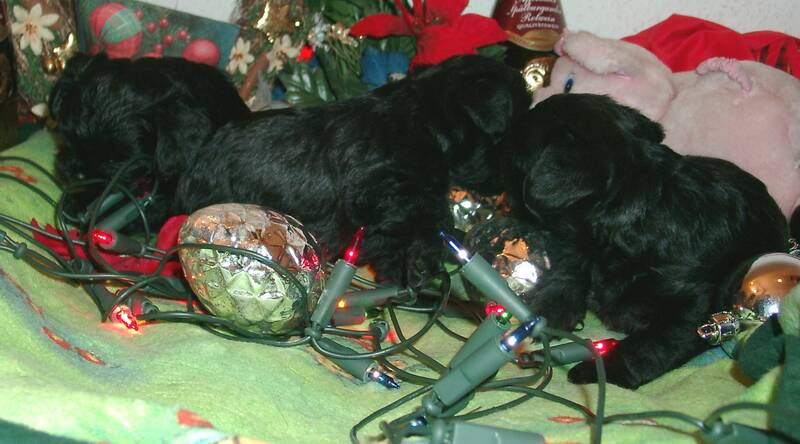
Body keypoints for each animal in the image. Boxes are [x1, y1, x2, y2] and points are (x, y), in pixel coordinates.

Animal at [174, 55, 531, 285]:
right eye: (510, 131)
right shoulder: (382, 190)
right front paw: (426, 257)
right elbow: (425, 215)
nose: (507, 186)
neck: (426, 119)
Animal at [501, 93, 788, 388]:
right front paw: (551, 310)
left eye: (513, 159)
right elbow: (571, 269)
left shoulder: (696, 306)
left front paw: (599, 369)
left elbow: (653, 344)